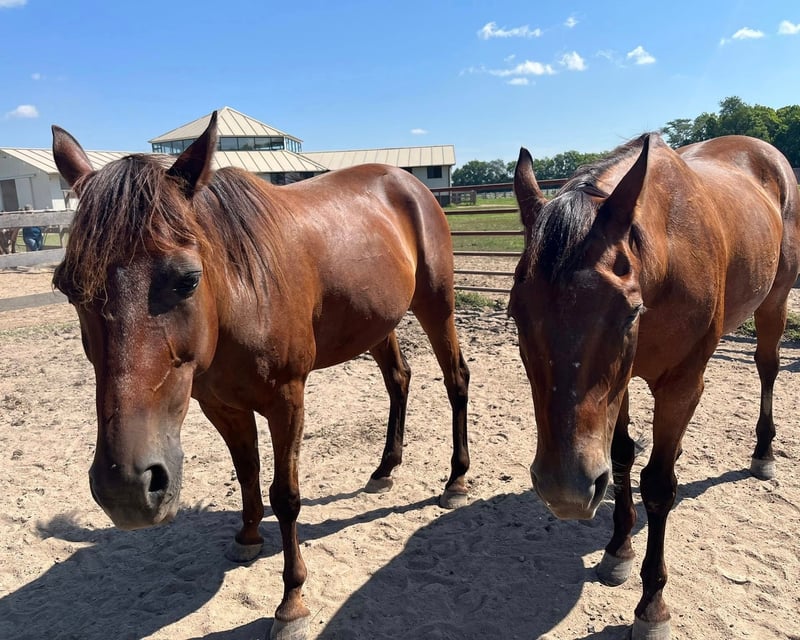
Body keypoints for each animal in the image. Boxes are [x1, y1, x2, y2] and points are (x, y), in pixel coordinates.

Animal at [51, 112, 470, 640]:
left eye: (187, 279)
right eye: (66, 287)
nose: (125, 488)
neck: (240, 295)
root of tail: (408, 182)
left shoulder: (286, 401)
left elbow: (284, 495)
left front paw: (292, 603)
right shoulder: (222, 406)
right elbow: (247, 472)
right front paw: (248, 537)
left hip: (437, 305)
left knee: (456, 381)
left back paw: (456, 481)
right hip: (378, 323)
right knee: (399, 379)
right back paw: (384, 470)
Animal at [508, 133, 799, 639]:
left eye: (628, 313)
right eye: (515, 312)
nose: (566, 491)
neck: (665, 259)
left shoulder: (680, 384)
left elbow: (659, 485)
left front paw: (651, 606)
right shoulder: (618, 387)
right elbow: (623, 457)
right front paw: (618, 550)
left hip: (775, 302)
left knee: (767, 367)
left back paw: (763, 453)